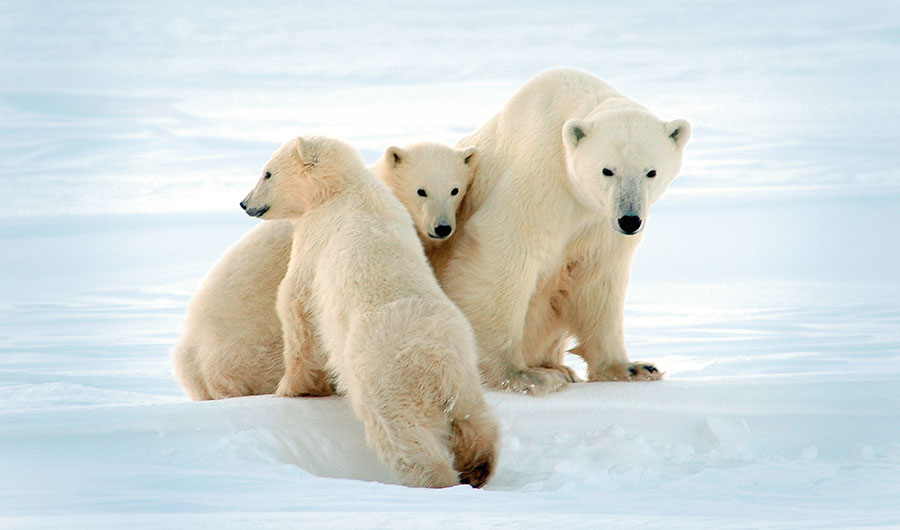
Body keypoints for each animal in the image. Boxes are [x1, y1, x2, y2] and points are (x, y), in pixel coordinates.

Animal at [446, 67, 692, 392]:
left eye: (651, 171)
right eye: (607, 170)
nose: (629, 220)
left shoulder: (600, 223)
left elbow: (600, 278)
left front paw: (633, 368)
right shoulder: (539, 180)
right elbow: (504, 249)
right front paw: (519, 374)